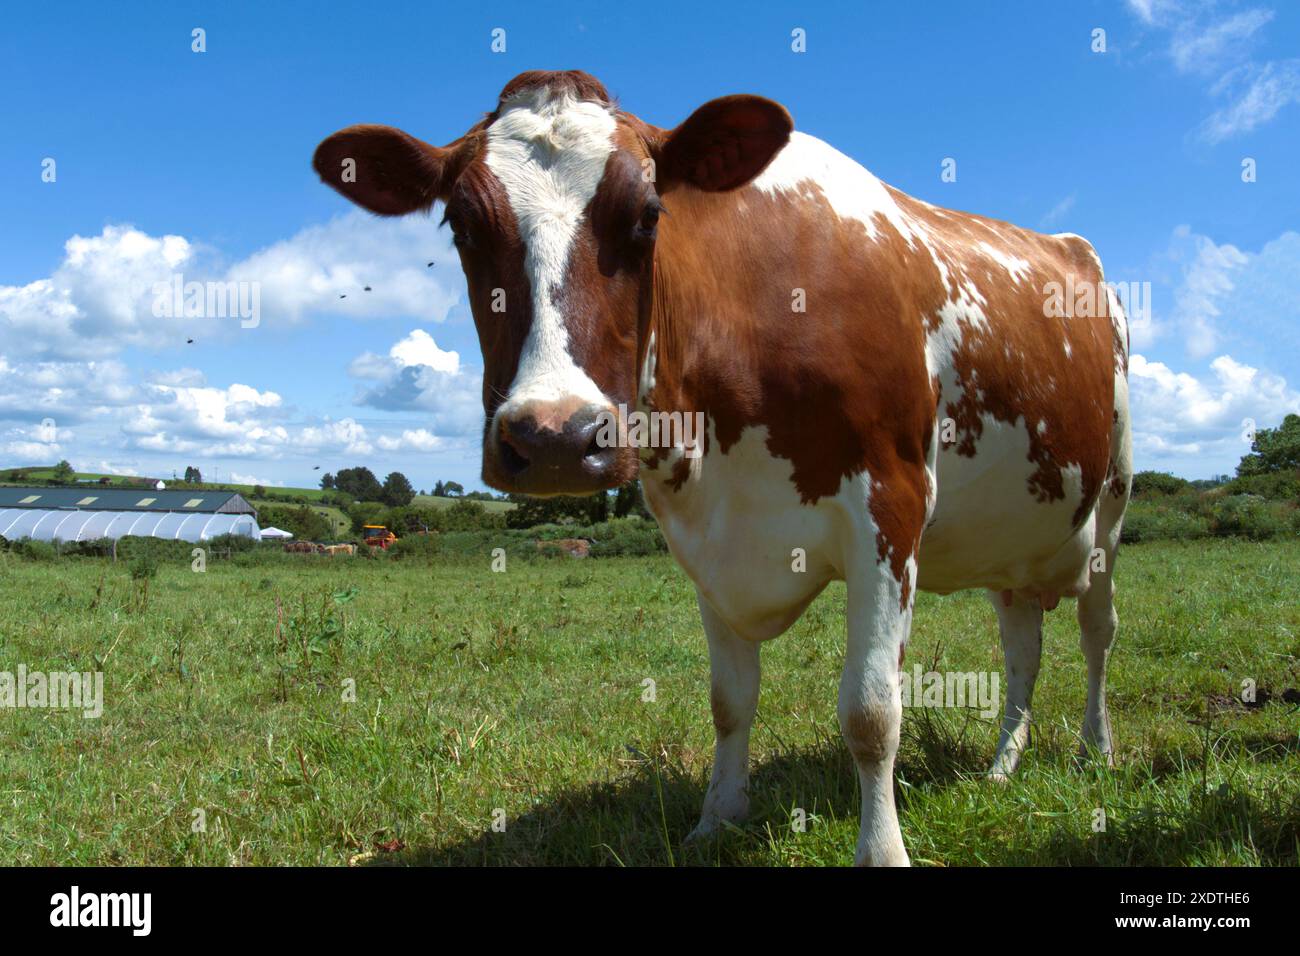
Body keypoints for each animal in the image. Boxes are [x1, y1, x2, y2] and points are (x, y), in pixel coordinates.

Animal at [314, 70, 1132, 866]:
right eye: (461, 224)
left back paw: (1095, 750)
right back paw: (1001, 765)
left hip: (1111, 503)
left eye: (648, 216)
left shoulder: (891, 508)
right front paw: (717, 819)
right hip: (1012, 540)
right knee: (1021, 647)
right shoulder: (704, 536)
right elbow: (729, 698)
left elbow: (871, 711)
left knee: (1098, 633)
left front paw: (882, 850)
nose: (554, 436)